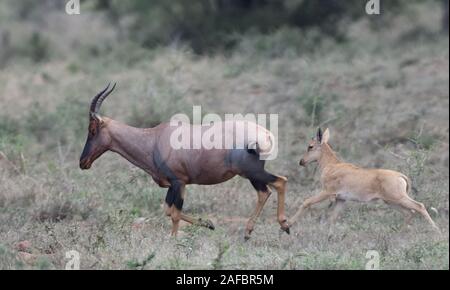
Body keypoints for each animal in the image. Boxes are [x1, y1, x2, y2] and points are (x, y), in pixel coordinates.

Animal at [79, 82, 290, 239]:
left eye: (92, 129)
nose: (83, 162)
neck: (155, 138)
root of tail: (265, 134)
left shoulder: (179, 182)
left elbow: (175, 213)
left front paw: (174, 240)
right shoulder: (173, 185)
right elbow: (168, 210)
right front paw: (209, 224)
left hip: (252, 172)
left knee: (280, 182)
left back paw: (282, 225)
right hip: (252, 174)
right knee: (265, 192)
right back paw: (250, 232)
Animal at [288, 128, 440, 232]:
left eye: (310, 146)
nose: (301, 161)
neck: (333, 165)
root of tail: (400, 176)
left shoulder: (327, 192)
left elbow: (306, 202)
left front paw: (288, 224)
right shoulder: (341, 200)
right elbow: (332, 218)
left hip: (398, 199)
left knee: (419, 206)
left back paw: (435, 230)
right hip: (391, 202)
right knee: (409, 213)